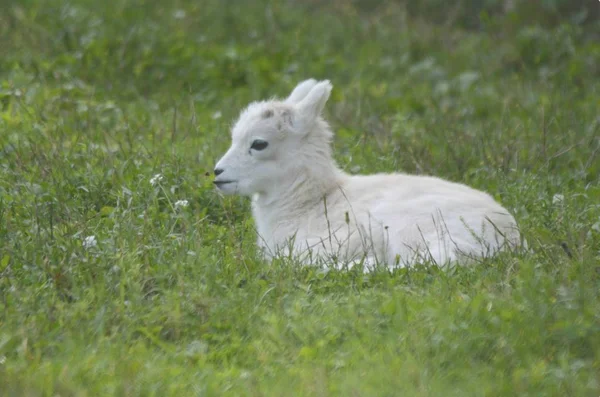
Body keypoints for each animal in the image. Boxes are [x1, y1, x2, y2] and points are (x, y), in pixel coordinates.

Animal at [212, 78, 520, 270]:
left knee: (436, 260)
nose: (217, 173)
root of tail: (511, 241)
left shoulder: (342, 237)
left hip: (418, 227)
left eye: (259, 144)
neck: (310, 201)